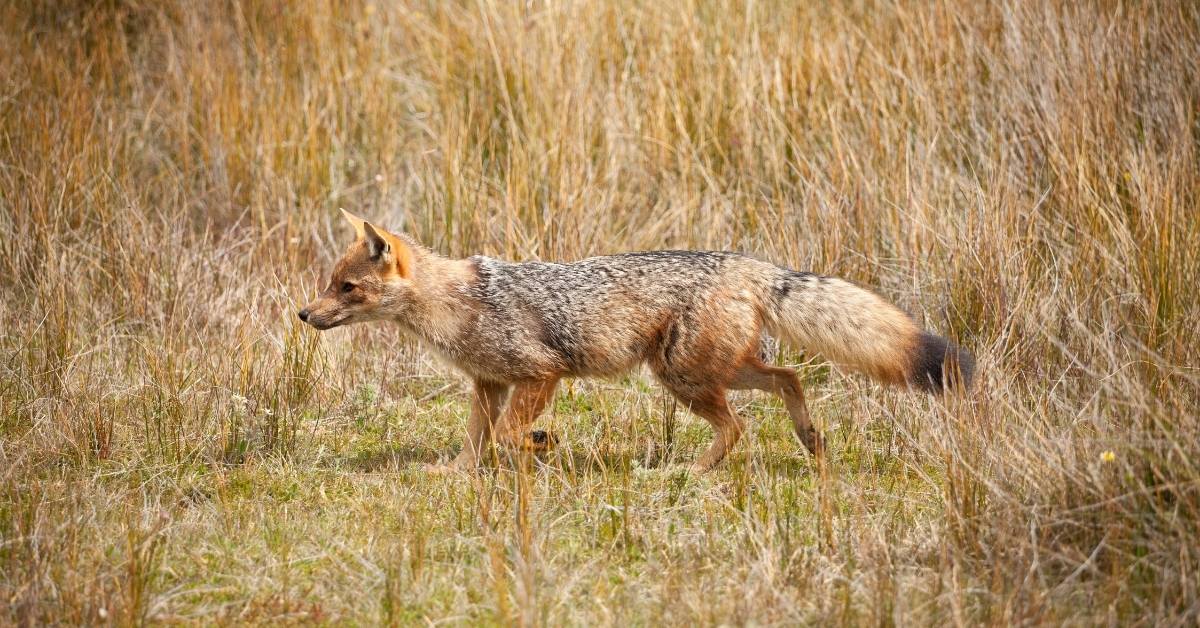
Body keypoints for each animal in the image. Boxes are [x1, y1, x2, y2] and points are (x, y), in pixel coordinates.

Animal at [300, 208, 974, 475]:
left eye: (346, 287)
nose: (305, 314)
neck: (457, 304)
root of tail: (746, 262)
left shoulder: (539, 374)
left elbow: (512, 435)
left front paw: (543, 444)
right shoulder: (488, 385)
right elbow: (476, 440)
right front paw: (458, 473)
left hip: (683, 378)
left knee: (738, 426)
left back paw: (689, 473)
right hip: (709, 371)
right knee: (790, 378)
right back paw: (809, 440)